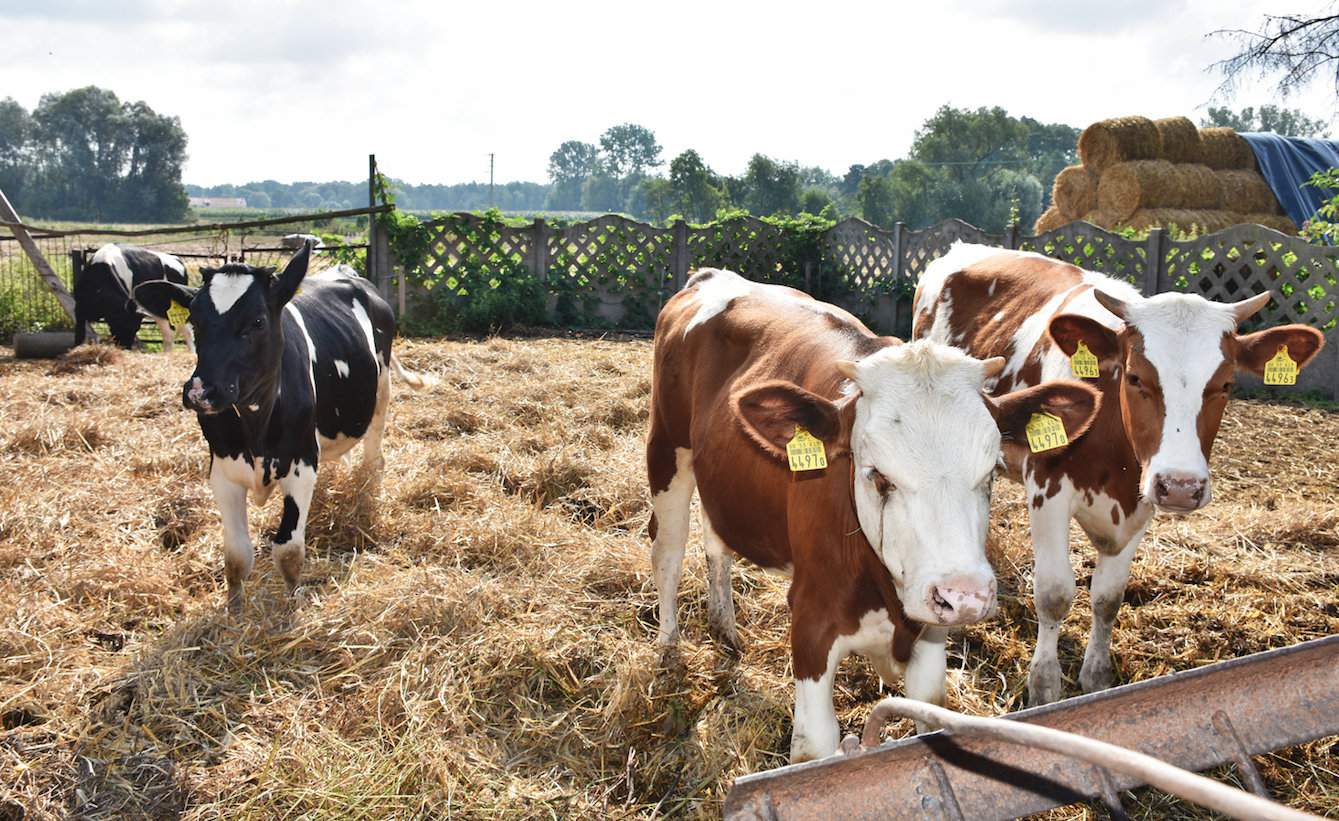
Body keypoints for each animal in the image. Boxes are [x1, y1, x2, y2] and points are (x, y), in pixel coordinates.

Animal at [648, 265, 1097, 760]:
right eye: (877, 475)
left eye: (992, 472)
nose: (963, 596)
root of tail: (712, 276)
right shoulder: (811, 625)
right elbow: (814, 748)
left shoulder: (929, 636)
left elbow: (928, 710)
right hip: (667, 452)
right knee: (667, 555)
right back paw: (668, 653)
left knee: (716, 542)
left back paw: (724, 625)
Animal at [915, 239, 1322, 701]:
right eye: (1135, 376)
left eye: (1225, 384)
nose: (1181, 487)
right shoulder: (1048, 489)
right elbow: (1054, 594)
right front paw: (1044, 683)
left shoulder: (1141, 499)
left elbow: (1108, 597)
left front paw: (1096, 675)